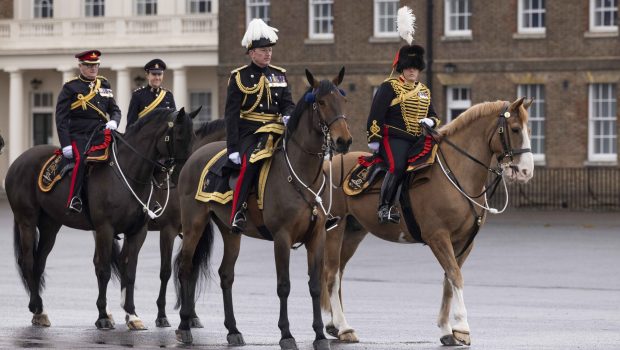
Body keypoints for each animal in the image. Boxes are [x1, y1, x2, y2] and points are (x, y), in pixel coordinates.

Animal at [5, 108, 199, 330]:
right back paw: (37, 307)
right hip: (26, 220)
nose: (187, 175)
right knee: (28, 260)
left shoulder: (138, 231)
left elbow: (129, 271)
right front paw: (103, 316)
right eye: (179, 136)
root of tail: (19, 159)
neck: (128, 173)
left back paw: (39, 310)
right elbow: (104, 270)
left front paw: (132, 314)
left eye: (194, 136)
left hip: (50, 225)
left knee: (39, 262)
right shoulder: (106, 228)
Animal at [147, 117, 226, 328]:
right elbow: (165, 271)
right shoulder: (168, 231)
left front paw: (191, 315)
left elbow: (192, 269)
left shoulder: (194, 231)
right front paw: (161, 315)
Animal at [173, 68, 354, 350]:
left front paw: (320, 335)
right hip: (194, 224)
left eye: (344, 100)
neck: (303, 173)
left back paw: (233, 330)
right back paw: (184, 327)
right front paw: (286, 334)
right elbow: (284, 285)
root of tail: (194, 156)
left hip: (230, 231)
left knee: (226, 274)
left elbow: (315, 285)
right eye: (321, 102)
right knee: (185, 267)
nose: (343, 140)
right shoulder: (282, 237)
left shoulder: (317, 237)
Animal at [320, 97, 532, 346]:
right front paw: (462, 327)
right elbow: (455, 276)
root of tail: (329, 164)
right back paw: (343, 327)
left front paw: (447, 329)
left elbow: (449, 280)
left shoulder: (464, 242)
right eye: (515, 129)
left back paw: (335, 325)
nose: (527, 170)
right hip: (335, 229)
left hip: (354, 232)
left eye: (529, 129)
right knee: (332, 274)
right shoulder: (437, 237)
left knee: (339, 271)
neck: (457, 172)